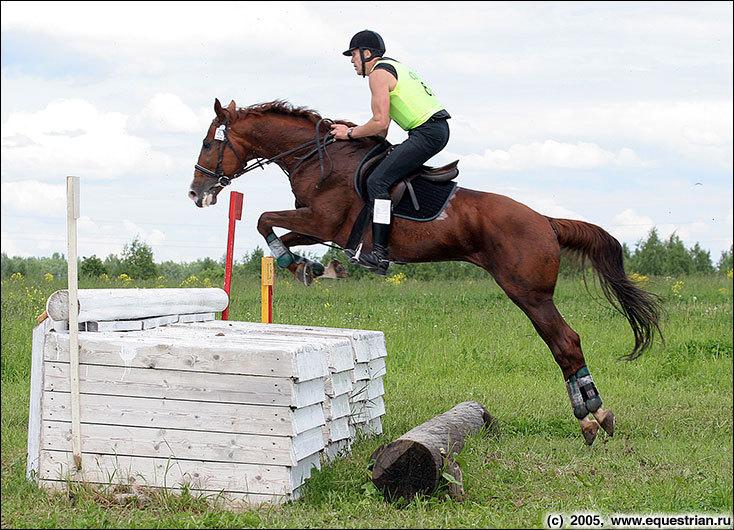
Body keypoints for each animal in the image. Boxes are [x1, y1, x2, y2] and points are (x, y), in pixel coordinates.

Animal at [190, 98, 668, 442]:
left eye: (210, 144)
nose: (196, 192)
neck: (316, 158)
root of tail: (545, 220)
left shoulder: (324, 220)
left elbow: (263, 219)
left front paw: (307, 267)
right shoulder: (316, 225)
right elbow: (275, 231)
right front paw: (312, 268)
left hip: (529, 292)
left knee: (565, 342)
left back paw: (591, 417)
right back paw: (594, 415)